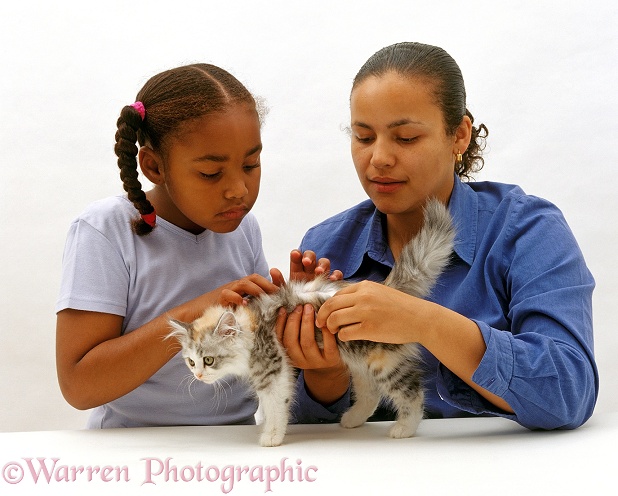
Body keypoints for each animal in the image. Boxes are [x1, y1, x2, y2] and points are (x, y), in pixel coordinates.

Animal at [167, 200, 452, 448]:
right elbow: (269, 408)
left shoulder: (273, 371)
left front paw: (272, 436)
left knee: (413, 393)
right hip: (359, 360)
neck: (251, 328)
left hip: (384, 361)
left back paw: (404, 428)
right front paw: (267, 429)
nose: (198, 375)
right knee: (371, 394)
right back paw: (352, 420)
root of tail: (386, 290)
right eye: (191, 362)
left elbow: (276, 406)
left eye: (209, 360)